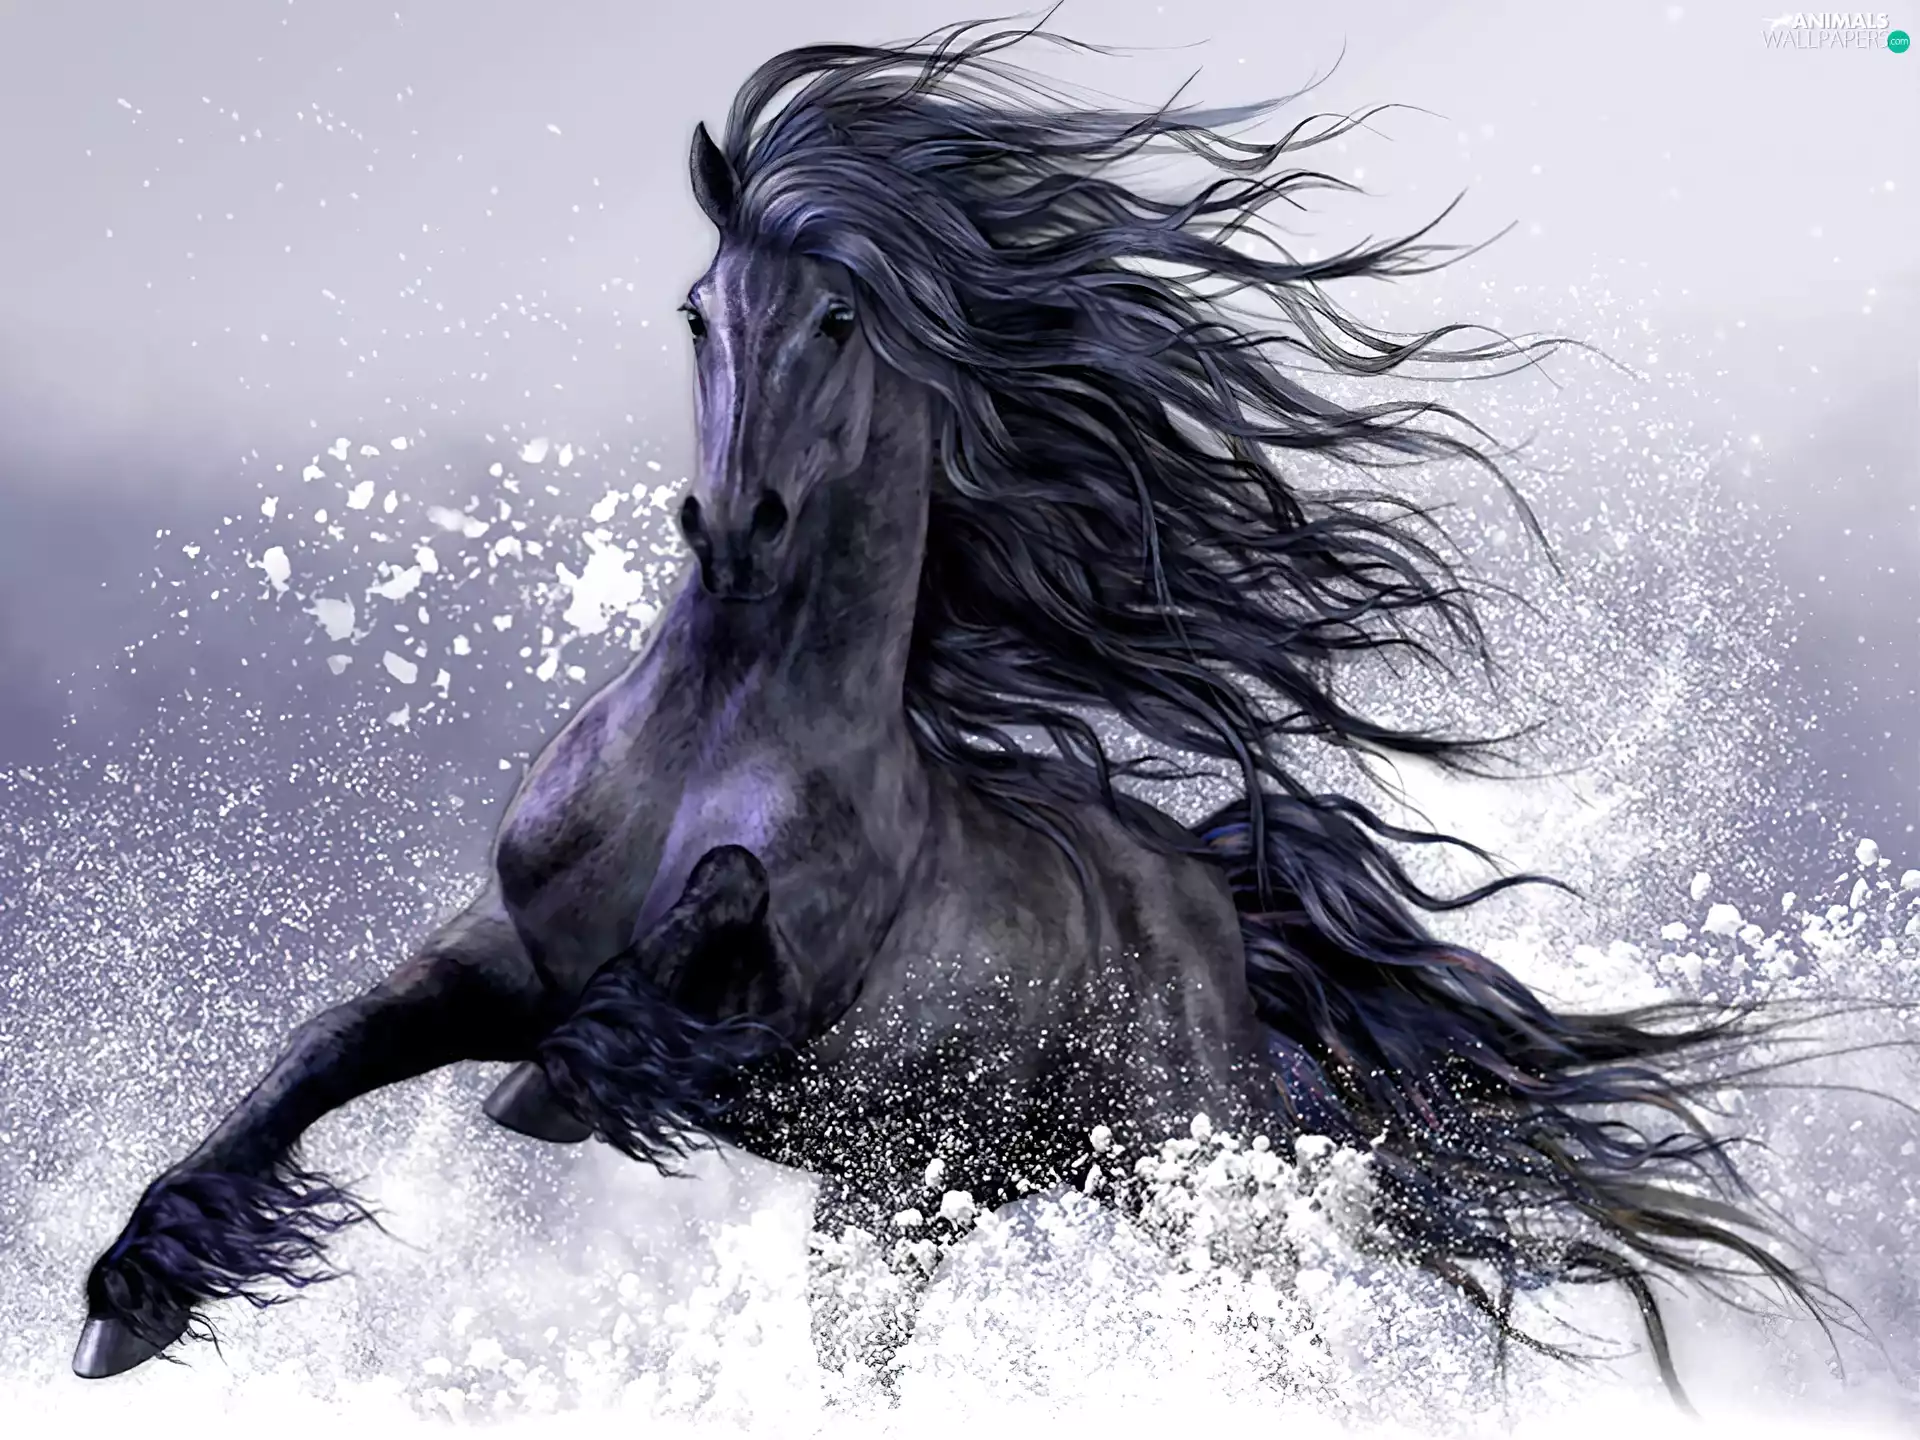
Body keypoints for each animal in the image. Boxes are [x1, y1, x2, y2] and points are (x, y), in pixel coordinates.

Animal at [73, 20, 1833, 1408]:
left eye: (840, 320)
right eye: (697, 312)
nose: (735, 527)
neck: (712, 741)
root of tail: (1215, 897)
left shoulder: (769, 1012)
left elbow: (699, 937)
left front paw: (561, 1082)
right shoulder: (498, 954)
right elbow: (311, 1058)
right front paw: (129, 1298)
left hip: (1159, 1165)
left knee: (1263, 1298)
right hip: (924, 1198)